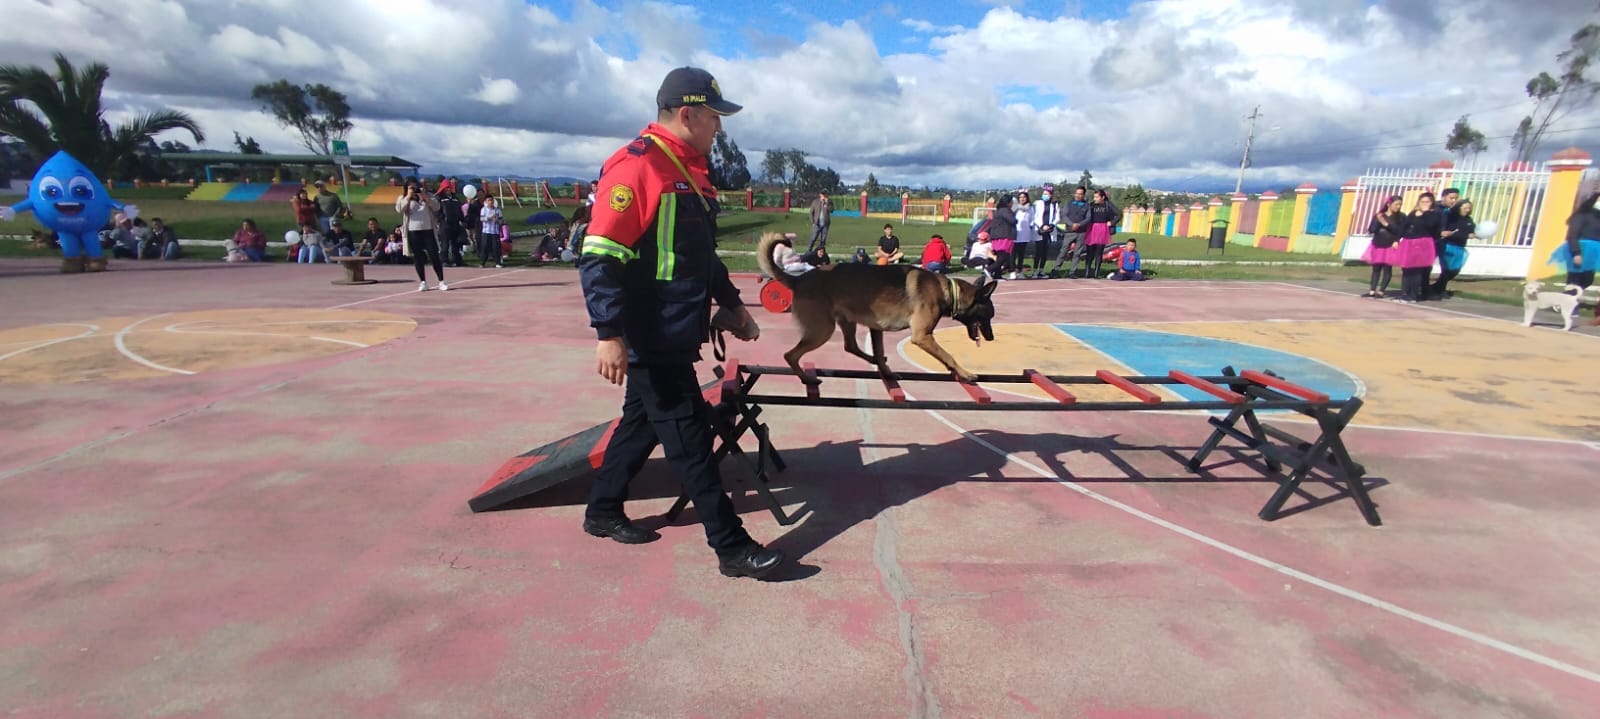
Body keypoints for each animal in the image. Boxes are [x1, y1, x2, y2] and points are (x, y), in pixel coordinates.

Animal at [755, 232, 992, 384]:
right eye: (988, 315)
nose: (990, 338)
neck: (947, 290)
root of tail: (799, 279)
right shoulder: (922, 336)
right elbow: (948, 355)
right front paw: (965, 373)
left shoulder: (876, 329)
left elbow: (879, 350)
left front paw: (885, 370)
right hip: (822, 330)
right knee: (791, 355)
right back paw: (805, 378)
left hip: (845, 322)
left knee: (851, 346)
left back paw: (876, 363)